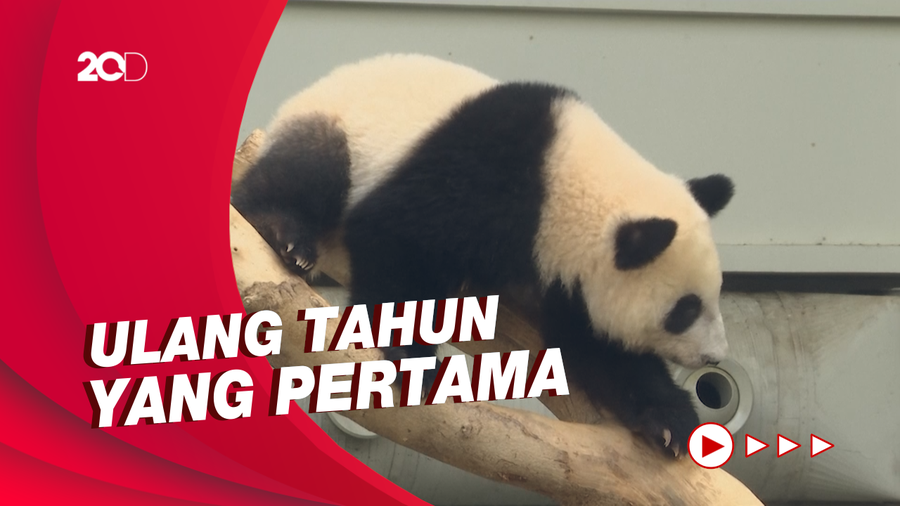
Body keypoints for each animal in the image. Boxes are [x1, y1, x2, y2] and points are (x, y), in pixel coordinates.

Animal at [233, 54, 734, 456]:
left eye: (715, 294)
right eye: (685, 310)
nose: (716, 357)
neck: (569, 185)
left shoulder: (566, 274)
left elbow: (596, 346)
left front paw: (669, 419)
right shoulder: (484, 177)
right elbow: (395, 238)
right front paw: (415, 359)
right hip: (338, 129)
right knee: (303, 173)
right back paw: (285, 235)